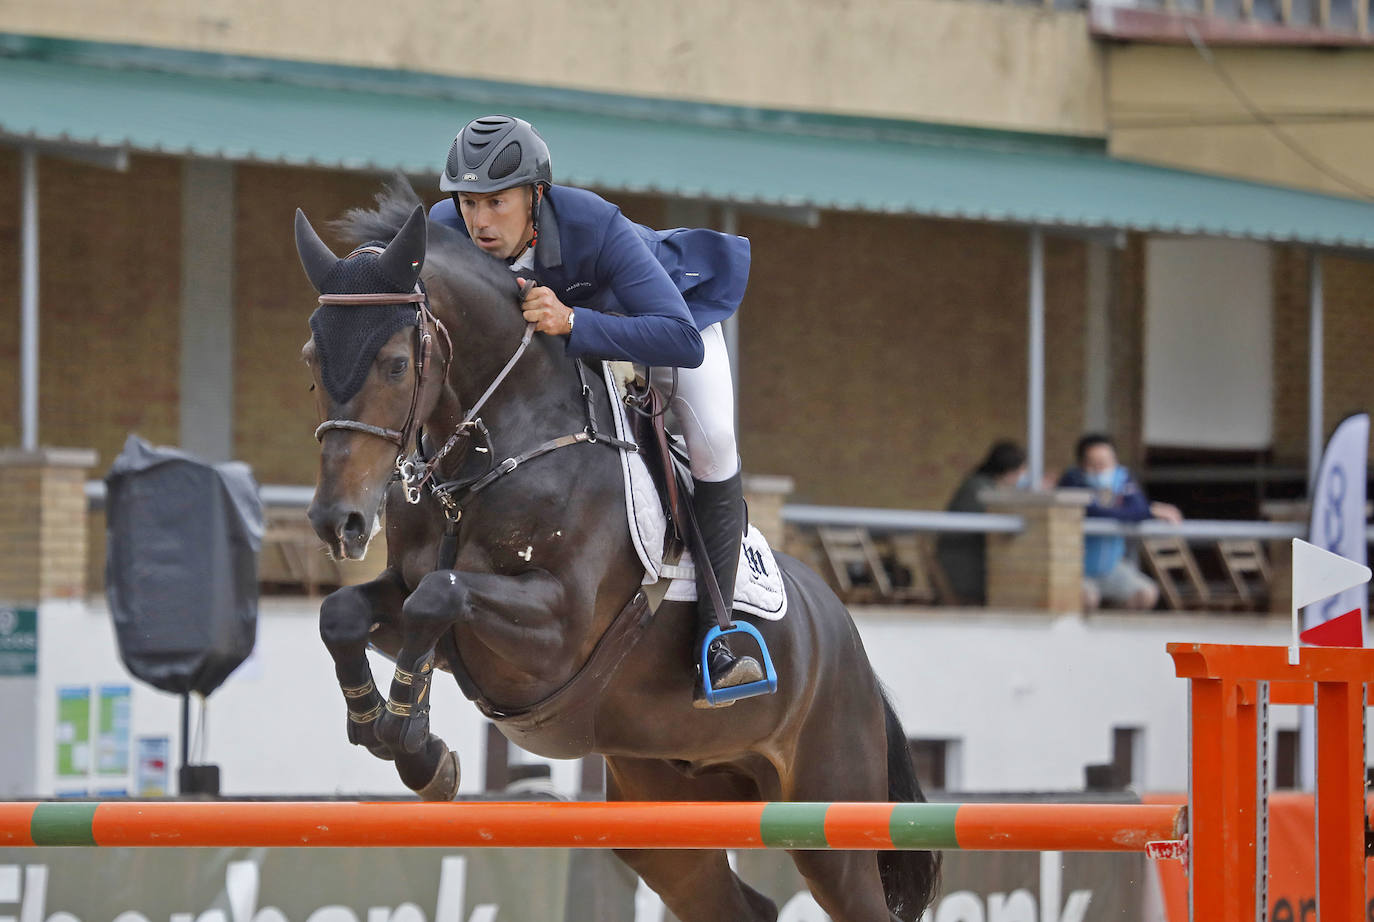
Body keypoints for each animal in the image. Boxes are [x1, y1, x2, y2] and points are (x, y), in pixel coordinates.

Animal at [294, 182, 939, 922]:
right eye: (311, 360)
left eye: (397, 364)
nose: (337, 523)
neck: (487, 456)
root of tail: (847, 639)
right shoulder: (408, 592)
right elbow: (347, 613)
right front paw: (398, 735)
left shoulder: (555, 629)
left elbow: (441, 596)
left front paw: (412, 739)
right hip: (666, 812)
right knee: (733, 900)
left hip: (827, 813)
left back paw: (732, 660)